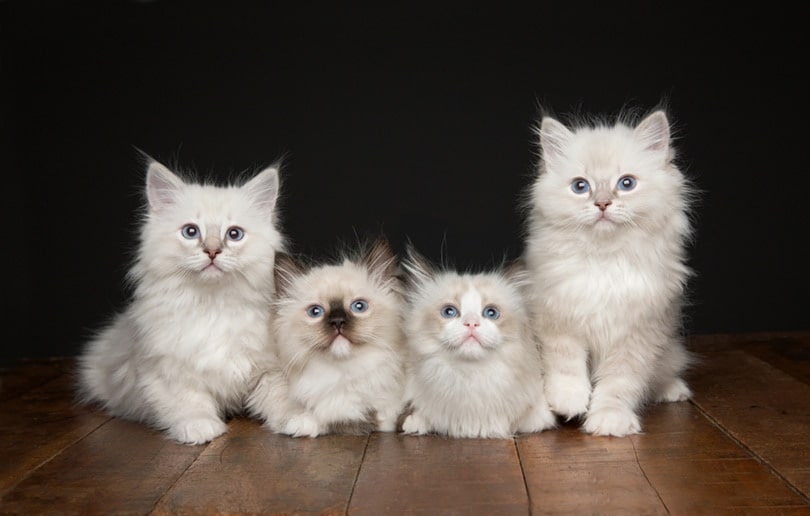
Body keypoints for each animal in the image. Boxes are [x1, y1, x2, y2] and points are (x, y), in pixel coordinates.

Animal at [76, 159, 284, 446]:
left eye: (234, 234)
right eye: (191, 232)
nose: (212, 251)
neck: (213, 306)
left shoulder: (270, 368)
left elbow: (280, 396)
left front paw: (300, 423)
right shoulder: (168, 370)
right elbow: (189, 402)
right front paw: (200, 429)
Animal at [246, 237, 408, 436]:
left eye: (359, 306)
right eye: (315, 312)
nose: (337, 322)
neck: (343, 374)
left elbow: (388, 416)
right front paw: (302, 424)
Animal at [398, 247, 556, 440]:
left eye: (491, 313)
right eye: (449, 312)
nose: (471, 323)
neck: (470, 375)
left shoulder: (538, 412)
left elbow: (530, 420)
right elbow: (420, 418)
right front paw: (415, 424)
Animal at [524, 108, 696, 436]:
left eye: (626, 183)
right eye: (580, 186)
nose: (602, 203)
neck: (605, 262)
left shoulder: (637, 335)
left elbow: (618, 384)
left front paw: (608, 420)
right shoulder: (558, 319)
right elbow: (566, 366)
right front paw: (568, 402)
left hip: (667, 351)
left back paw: (674, 390)